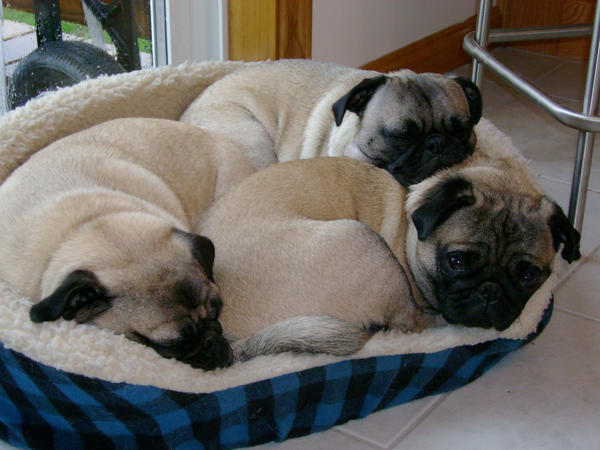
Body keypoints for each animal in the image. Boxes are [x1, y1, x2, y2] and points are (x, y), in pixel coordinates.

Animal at [199, 135, 580, 360]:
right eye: (457, 262)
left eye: (528, 276)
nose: (490, 291)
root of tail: (230, 335)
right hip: (365, 242)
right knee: (409, 322)